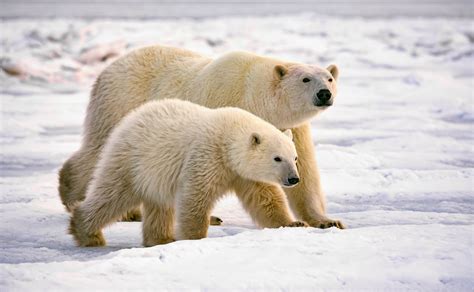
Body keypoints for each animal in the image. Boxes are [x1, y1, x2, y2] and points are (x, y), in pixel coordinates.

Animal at [59, 44, 344, 229]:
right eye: (306, 79)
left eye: (329, 78)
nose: (324, 94)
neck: (254, 96)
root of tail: (108, 68)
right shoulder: (232, 110)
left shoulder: (293, 128)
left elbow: (306, 171)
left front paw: (326, 220)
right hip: (120, 102)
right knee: (99, 149)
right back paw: (73, 193)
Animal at [70, 98, 308, 246]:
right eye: (277, 158)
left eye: (294, 157)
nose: (293, 178)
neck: (228, 138)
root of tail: (131, 117)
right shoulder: (207, 155)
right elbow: (196, 196)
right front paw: (195, 238)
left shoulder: (243, 173)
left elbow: (265, 198)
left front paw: (294, 223)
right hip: (131, 159)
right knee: (112, 195)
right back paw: (87, 233)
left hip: (154, 173)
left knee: (159, 205)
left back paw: (161, 239)